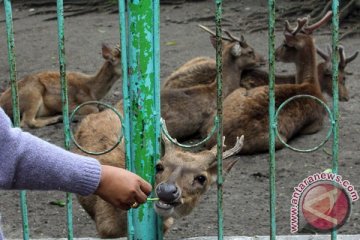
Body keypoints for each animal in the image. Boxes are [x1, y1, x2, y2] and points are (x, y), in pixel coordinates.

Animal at [200, 11, 332, 154]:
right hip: (278, 140)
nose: (275, 54)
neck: (311, 86)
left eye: (285, 44)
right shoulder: (317, 123)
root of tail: (215, 140)